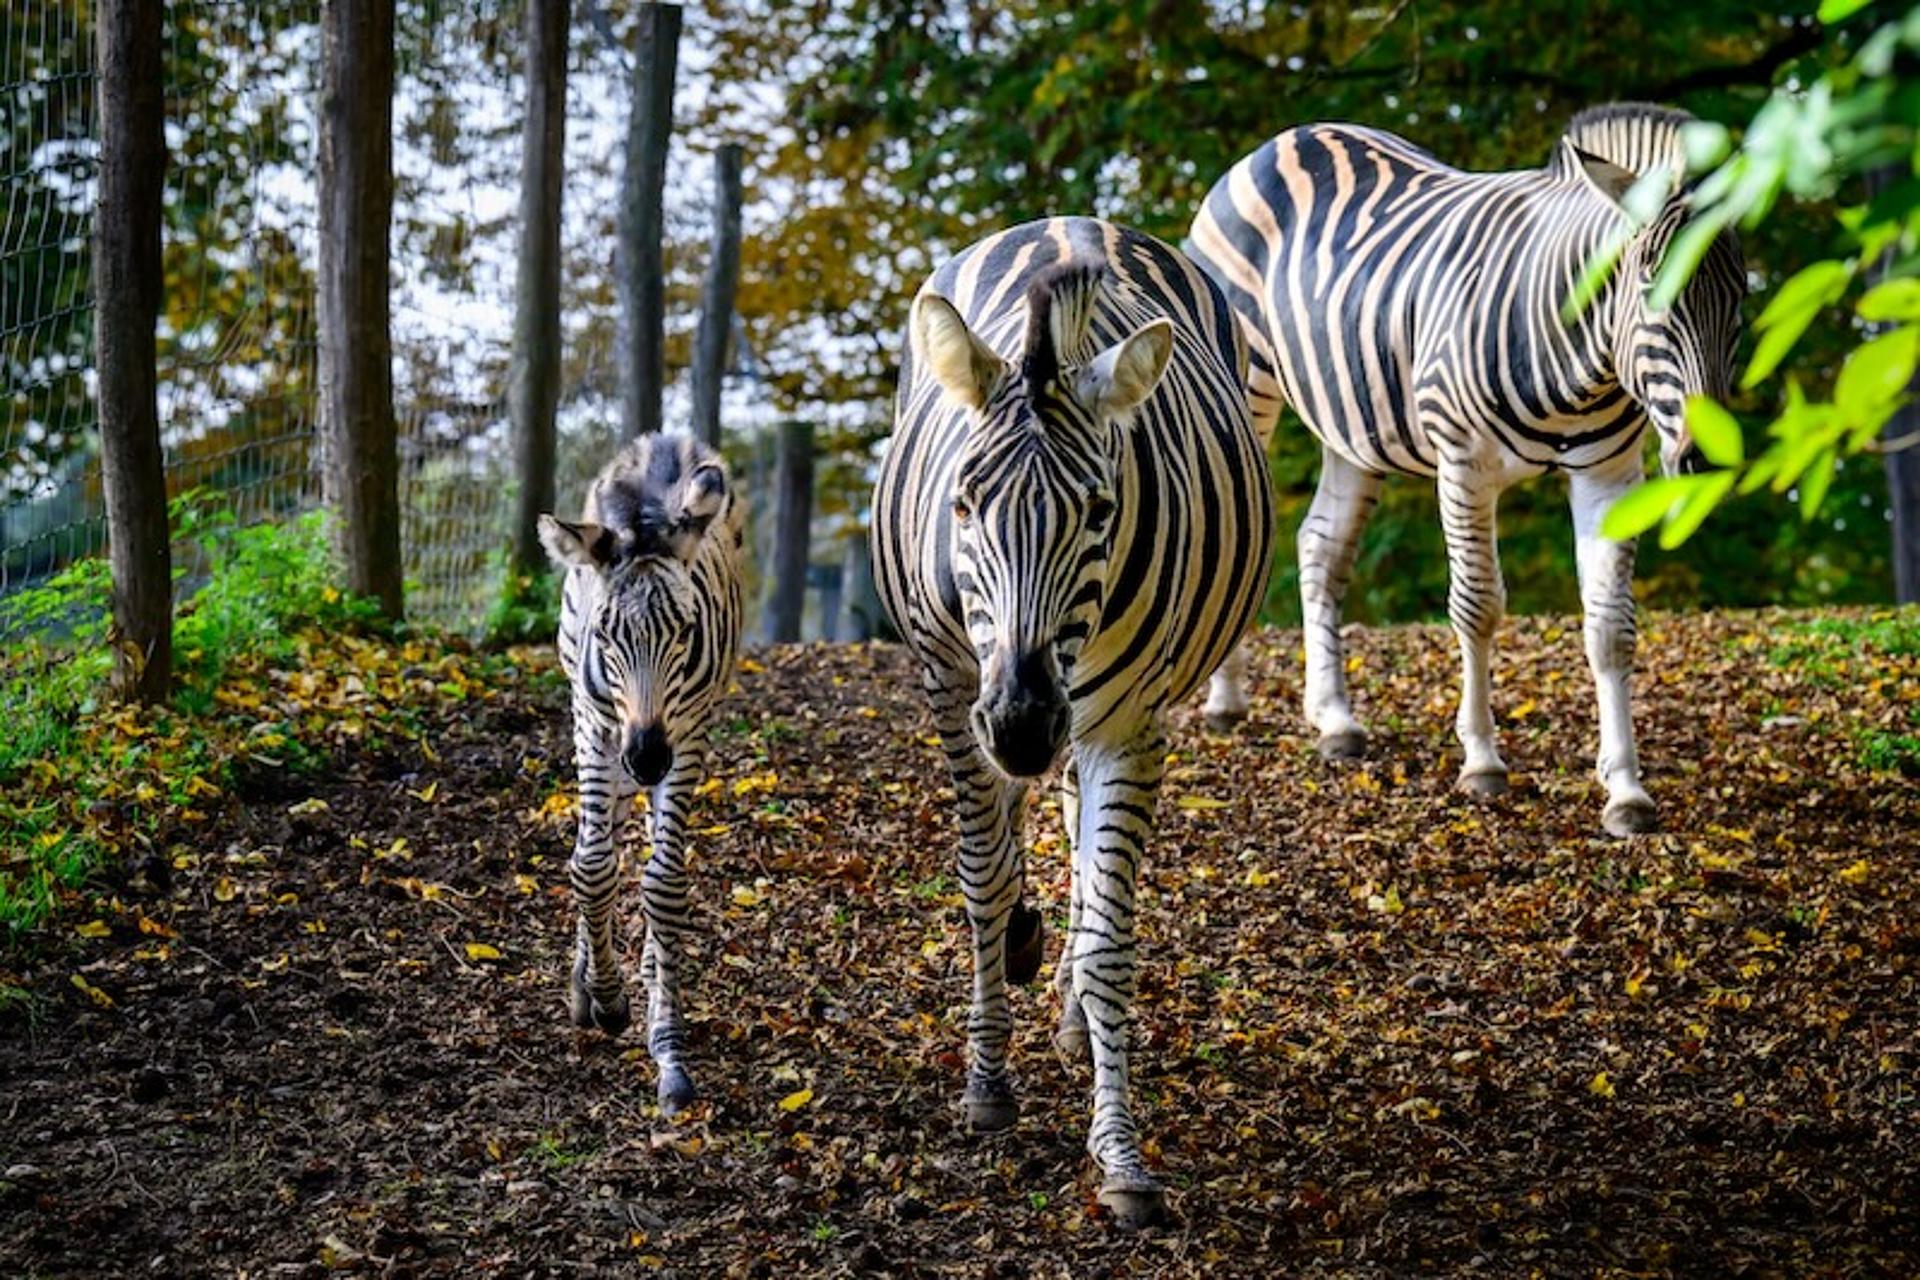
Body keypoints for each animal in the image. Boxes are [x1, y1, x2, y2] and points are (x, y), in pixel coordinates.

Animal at [537, 431, 746, 1114]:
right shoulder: (593, 723)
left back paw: (653, 969)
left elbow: (663, 883)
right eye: (606, 634)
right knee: (599, 842)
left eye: (685, 631)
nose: (649, 757)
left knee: (656, 852)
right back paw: (587, 984)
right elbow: (591, 867)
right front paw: (603, 998)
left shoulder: (688, 731)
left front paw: (668, 1045)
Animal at [871, 217, 1275, 1227]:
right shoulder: (956, 689)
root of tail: (1069, 223)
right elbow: (981, 881)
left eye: (1097, 510)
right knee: (1020, 832)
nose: (1020, 724)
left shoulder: (1126, 724)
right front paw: (986, 1083)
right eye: (964, 504)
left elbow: (1109, 944)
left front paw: (1120, 1154)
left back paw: (1068, 1011)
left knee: (1078, 845)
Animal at [1186, 103, 1745, 837]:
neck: (1574, 353)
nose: (1704, 460)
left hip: (1353, 426)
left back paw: (1334, 719)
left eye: (1740, 303)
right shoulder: (1463, 464)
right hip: (1246, 385)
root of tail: (1294, 134)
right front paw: (1482, 760)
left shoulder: (1608, 473)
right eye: (1651, 289)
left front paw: (1626, 789)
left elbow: (1610, 628)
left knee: (1321, 547)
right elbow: (1478, 607)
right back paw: (1225, 701)